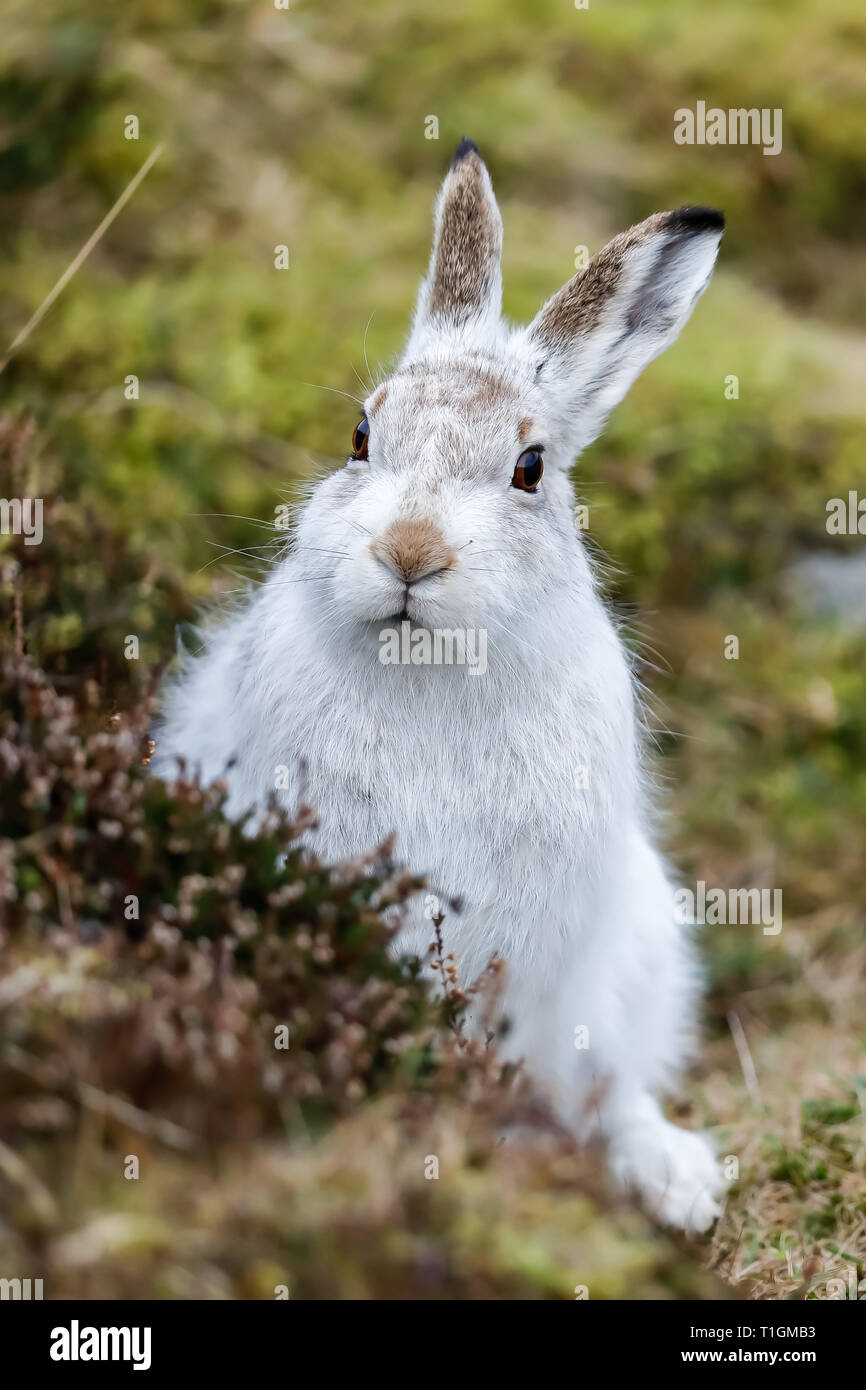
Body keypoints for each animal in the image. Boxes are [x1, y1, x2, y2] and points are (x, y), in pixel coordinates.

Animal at [154, 138, 726, 1232]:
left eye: (530, 466)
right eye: (359, 437)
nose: (409, 552)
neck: (425, 669)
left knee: (614, 1085)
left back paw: (676, 1181)